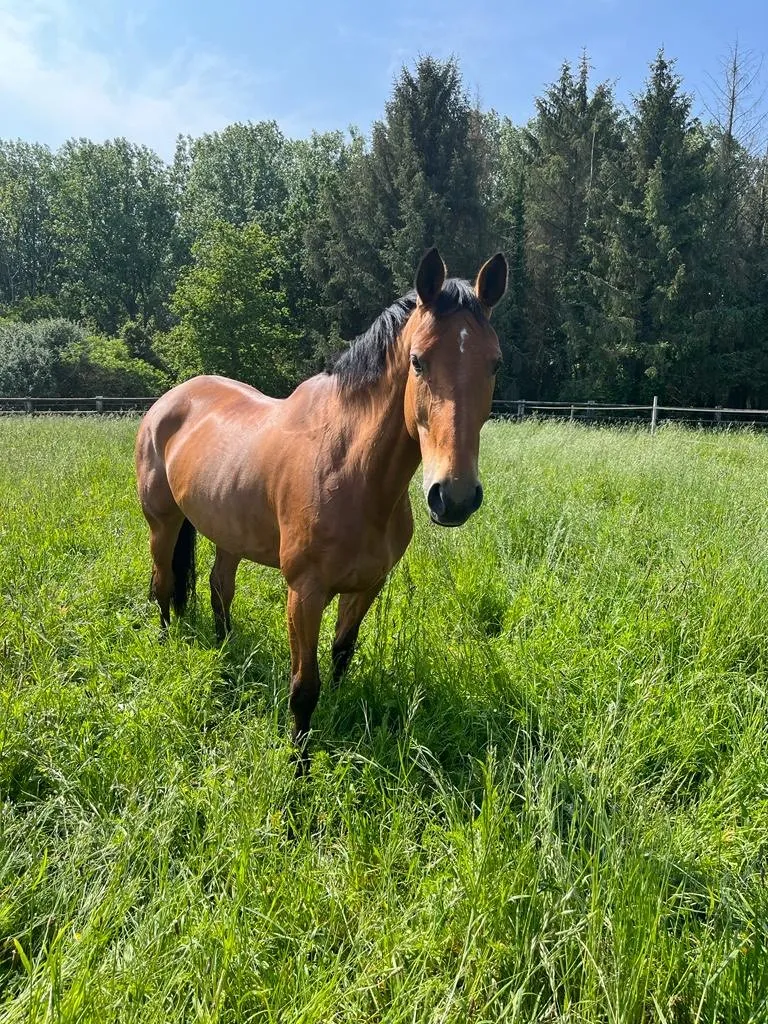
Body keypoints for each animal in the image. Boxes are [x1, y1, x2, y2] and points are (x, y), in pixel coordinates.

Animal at [137, 245, 512, 761]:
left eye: (494, 364)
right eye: (417, 361)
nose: (453, 497)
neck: (352, 473)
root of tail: (167, 401)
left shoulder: (367, 586)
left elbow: (341, 656)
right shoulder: (305, 593)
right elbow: (303, 688)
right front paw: (299, 764)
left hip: (228, 533)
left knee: (218, 589)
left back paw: (226, 649)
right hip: (162, 523)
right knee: (164, 583)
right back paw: (166, 640)